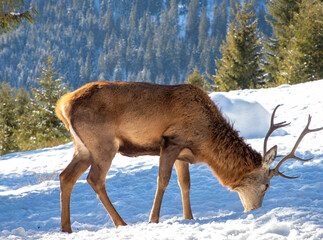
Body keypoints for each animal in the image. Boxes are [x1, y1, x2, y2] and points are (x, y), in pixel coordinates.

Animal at [54, 80, 322, 232]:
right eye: (266, 185)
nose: (254, 210)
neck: (206, 141)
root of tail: (61, 105)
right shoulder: (171, 141)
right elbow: (163, 181)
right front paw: (153, 220)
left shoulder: (183, 155)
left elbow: (185, 185)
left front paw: (189, 218)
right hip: (103, 144)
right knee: (94, 179)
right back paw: (121, 223)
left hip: (83, 147)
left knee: (66, 176)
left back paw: (66, 228)